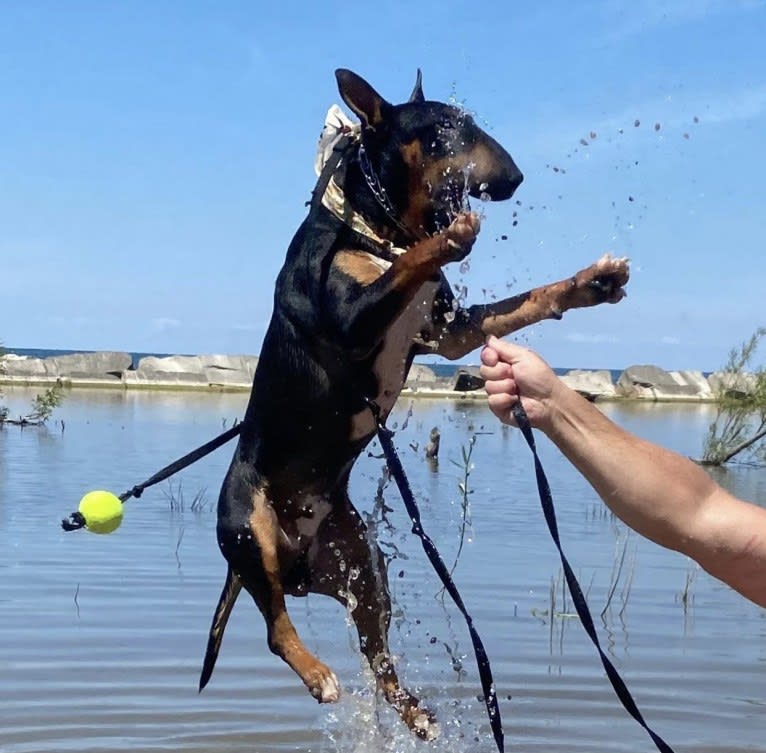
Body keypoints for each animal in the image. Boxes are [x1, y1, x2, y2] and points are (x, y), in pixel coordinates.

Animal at [198, 67, 632, 736]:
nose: (515, 179)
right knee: (274, 627)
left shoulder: (449, 332)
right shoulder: (354, 319)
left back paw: (415, 713)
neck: (374, 227)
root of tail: (299, 567)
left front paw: (590, 283)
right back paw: (317, 674)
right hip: (251, 529)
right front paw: (451, 237)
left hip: (366, 568)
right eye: (446, 131)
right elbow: (410, 266)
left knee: (377, 658)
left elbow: (528, 301)